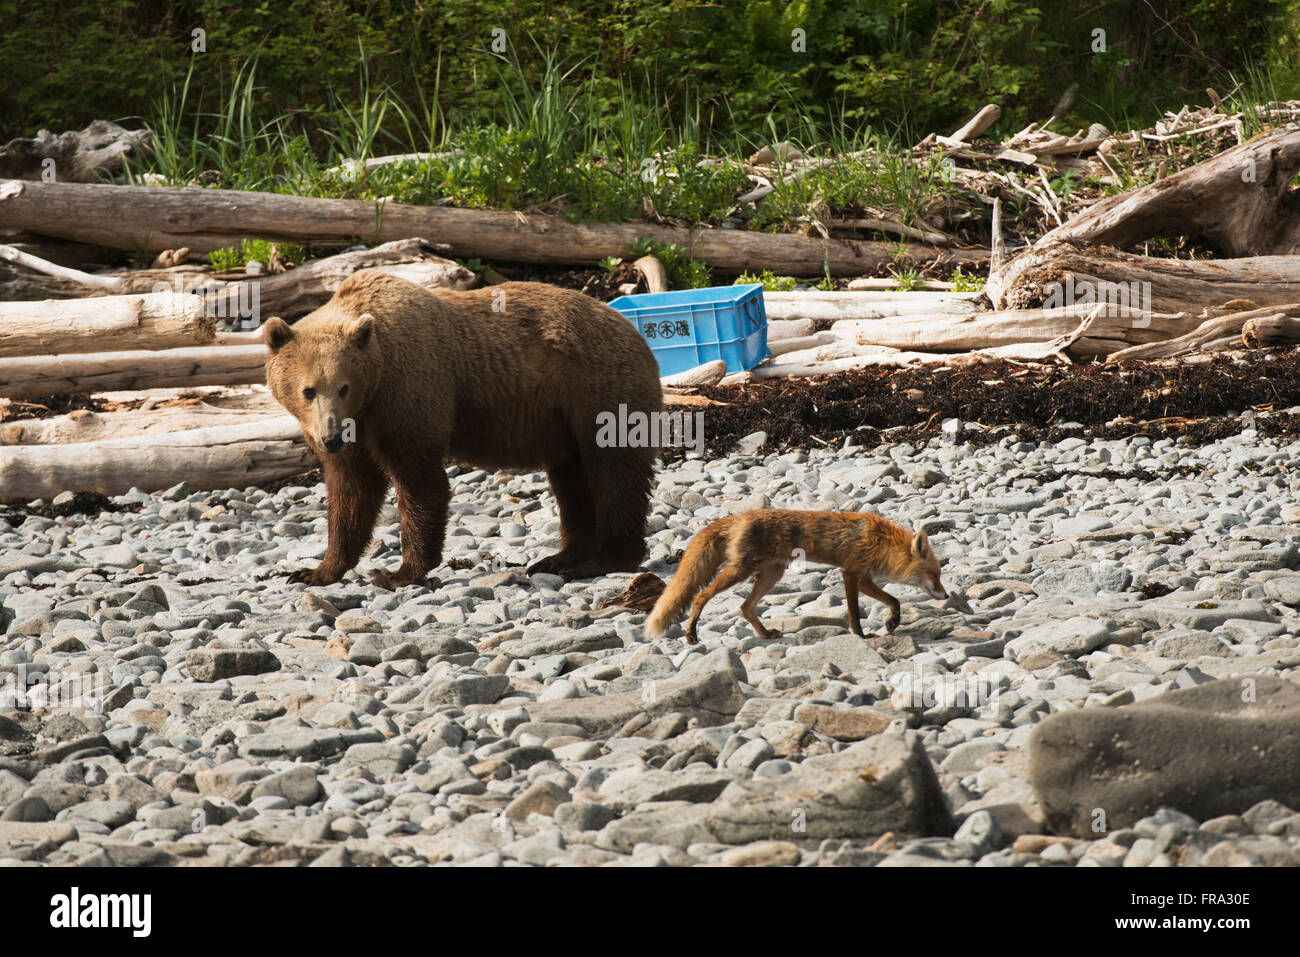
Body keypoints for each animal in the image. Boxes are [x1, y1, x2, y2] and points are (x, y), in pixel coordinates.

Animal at [267, 265, 665, 587]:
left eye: (343, 386)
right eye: (307, 390)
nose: (331, 437)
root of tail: (637, 334)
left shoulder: (409, 393)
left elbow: (419, 482)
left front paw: (398, 573)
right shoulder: (359, 428)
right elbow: (351, 491)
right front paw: (313, 571)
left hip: (599, 391)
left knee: (615, 474)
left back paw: (604, 559)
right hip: (566, 424)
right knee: (573, 481)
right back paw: (560, 558)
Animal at [644, 509, 951, 642]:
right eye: (934, 574)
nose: (946, 594)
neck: (880, 542)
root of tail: (737, 516)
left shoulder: (863, 576)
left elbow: (893, 601)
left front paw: (892, 622)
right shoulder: (852, 574)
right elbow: (854, 612)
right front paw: (862, 636)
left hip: (771, 574)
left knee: (745, 607)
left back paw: (765, 634)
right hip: (739, 572)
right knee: (700, 596)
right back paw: (691, 633)